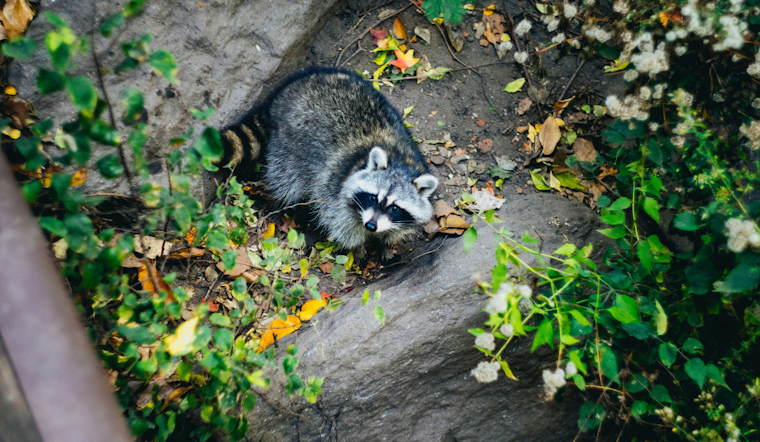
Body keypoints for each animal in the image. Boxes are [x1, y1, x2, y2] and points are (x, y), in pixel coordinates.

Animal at [222, 67, 439, 260]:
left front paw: (387, 243)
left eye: (394, 208)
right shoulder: (335, 187)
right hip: (288, 146)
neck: (400, 161)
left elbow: (398, 228)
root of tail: (284, 93)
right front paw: (358, 248)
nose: (371, 226)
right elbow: (340, 223)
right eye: (373, 197)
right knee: (286, 179)